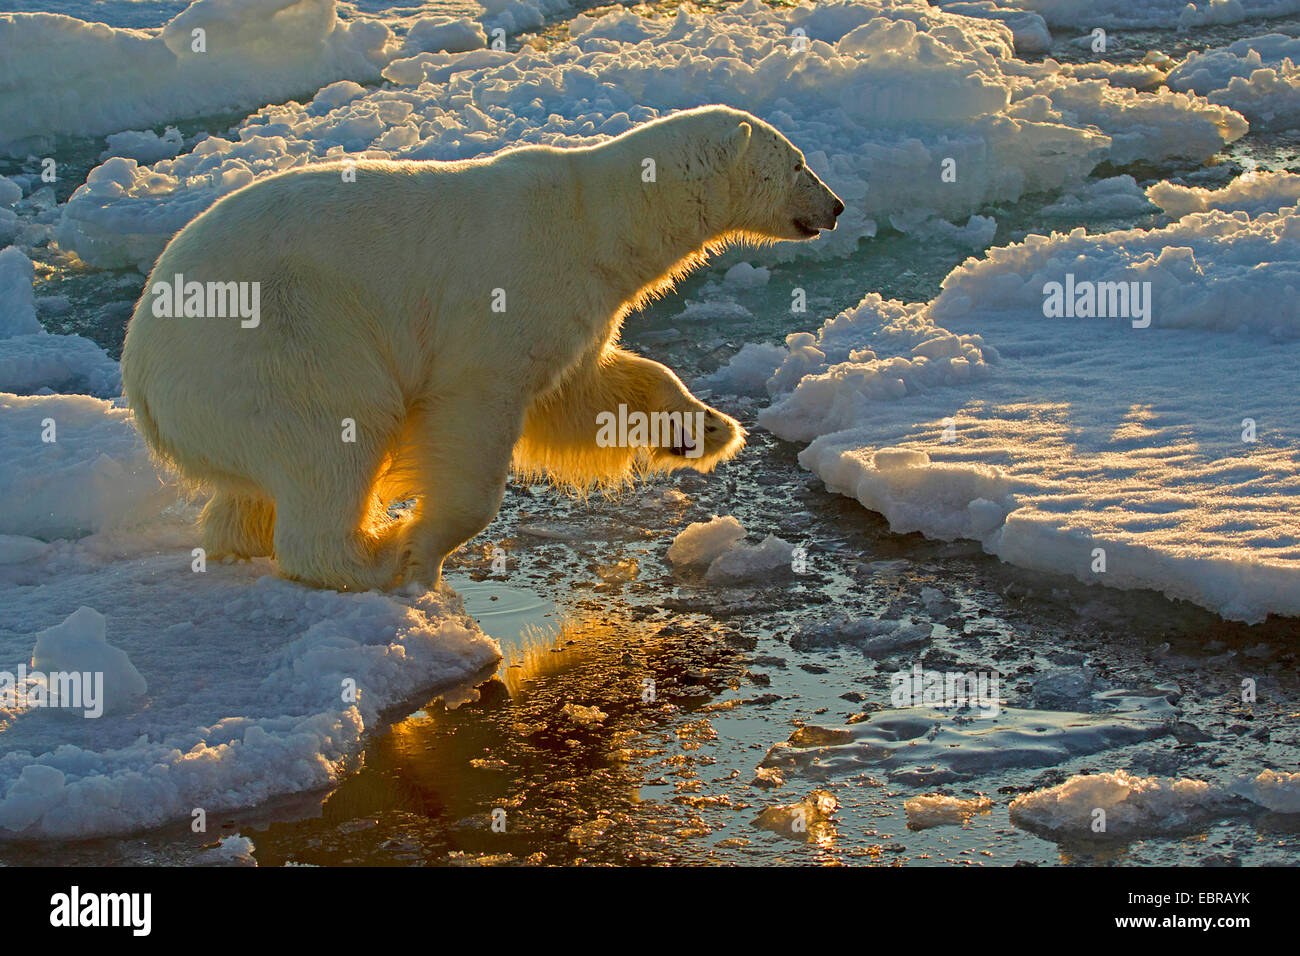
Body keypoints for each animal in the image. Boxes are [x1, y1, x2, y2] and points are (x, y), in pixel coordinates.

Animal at [122, 104, 847, 590]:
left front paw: (706, 430)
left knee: (252, 487)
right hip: (279, 335)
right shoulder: (503, 302)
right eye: (799, 163)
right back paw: (371, 555)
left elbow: (586, 390)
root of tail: (139, 366)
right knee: (333, 434)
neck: (596, 217)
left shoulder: (574, 304)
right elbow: (475, 420)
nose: (837, 206)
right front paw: (419, 548)